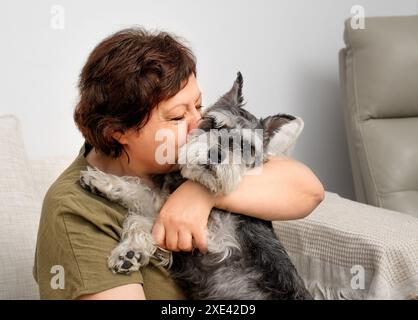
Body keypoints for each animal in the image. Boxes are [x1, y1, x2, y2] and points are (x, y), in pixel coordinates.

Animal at [80, 72, 312, 300]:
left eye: (247, 147)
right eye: (213, 123)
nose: (216, 154)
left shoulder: (215, 239)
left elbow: (148, 217)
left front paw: (130, 251)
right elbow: (144, 194)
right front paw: (102, 182)